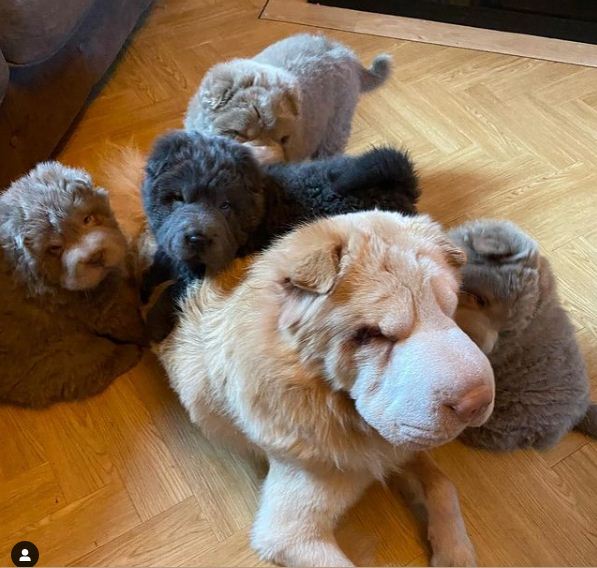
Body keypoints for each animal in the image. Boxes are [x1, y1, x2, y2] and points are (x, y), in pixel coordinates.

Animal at [0, 162, 147, 406]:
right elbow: (129, 317)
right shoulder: (102, 308)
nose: (95, 256)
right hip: (56, 356)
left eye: (88, 219)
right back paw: (129, 353)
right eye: (55, 248)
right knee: (90, 368)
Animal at [143, 131, 420, 340]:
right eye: (178, 198)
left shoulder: (203, 274)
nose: (197, 238)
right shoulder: (173, 249)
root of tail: (398, 185)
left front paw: (152, 323)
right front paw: (145, 284)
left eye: (225, 206)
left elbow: (172, 291)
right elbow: (158, 263)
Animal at [157, 211, 494, 564]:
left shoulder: (400, 443)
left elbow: (443, 485)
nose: (478, 402)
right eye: (369, 335)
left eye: (448, 308)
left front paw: (455, 553)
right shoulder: (288, 532)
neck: (329, 399)